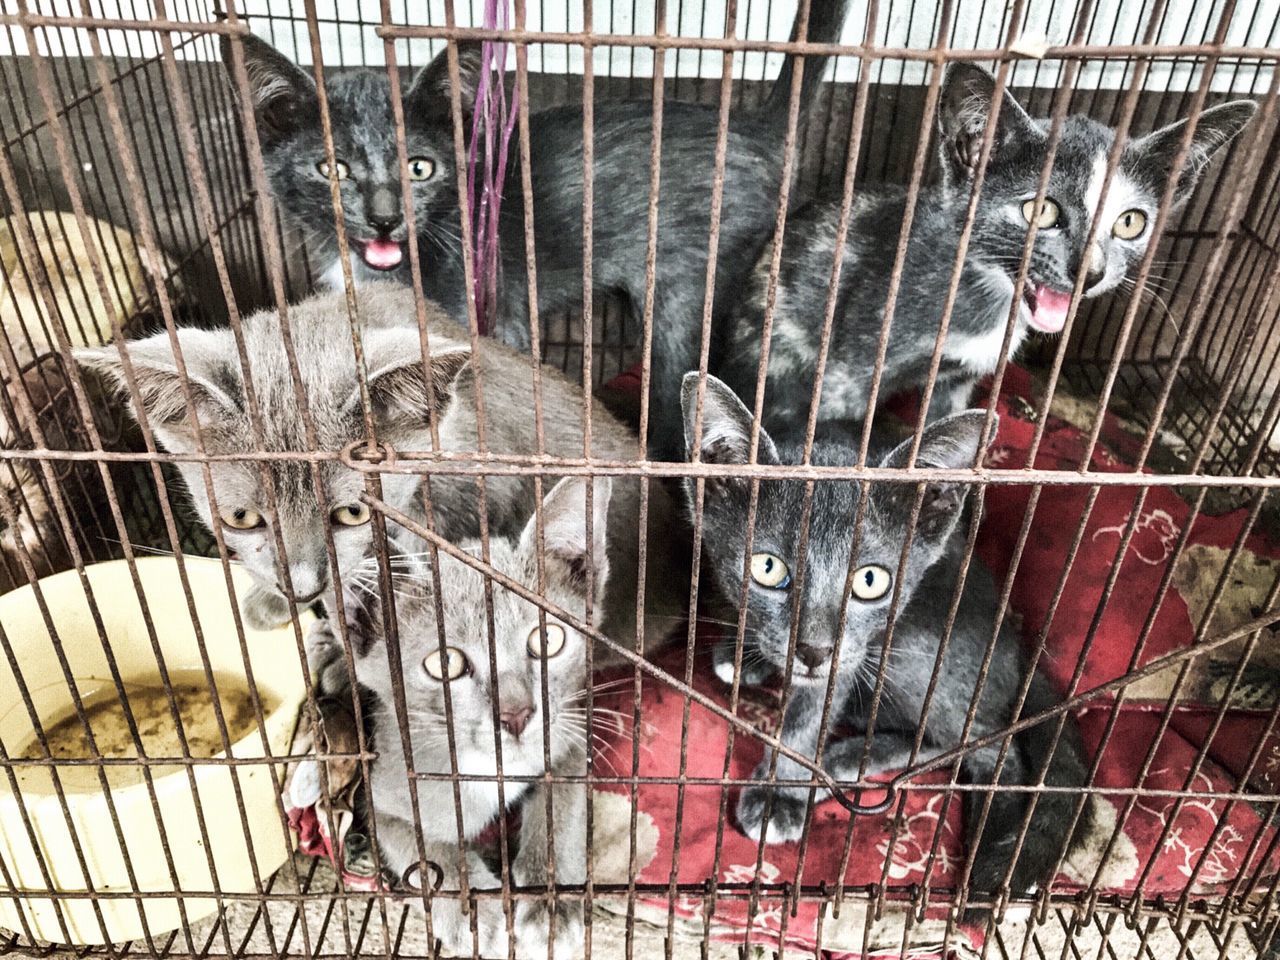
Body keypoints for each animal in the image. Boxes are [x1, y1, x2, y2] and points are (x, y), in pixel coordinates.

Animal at [680, 371, 1090, 901]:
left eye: (871, 581)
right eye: (767, 568)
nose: (813, 650)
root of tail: (1020, 649)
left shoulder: (851, 656)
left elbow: (806, 716)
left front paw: (779, 794)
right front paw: (745, 649)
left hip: (914, 647)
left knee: (987, 741)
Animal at [721, 62, 1259, 435]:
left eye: (1130, 222)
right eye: (1040, 211)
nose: (1091, 271)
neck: (986, 297)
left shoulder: (958, 381)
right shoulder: (846, 370)